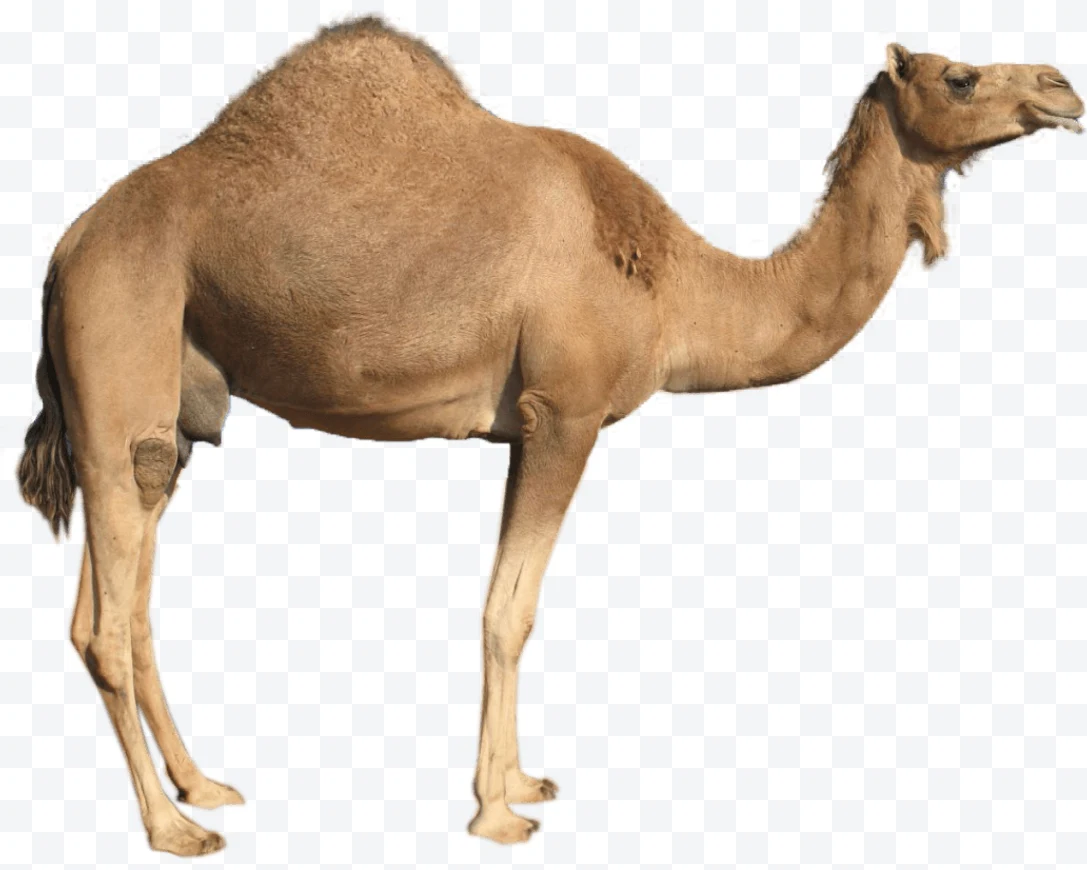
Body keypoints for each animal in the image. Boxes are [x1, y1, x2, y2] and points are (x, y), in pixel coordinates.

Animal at [15, 16, 1084, 856]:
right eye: (958, 75)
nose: (1061, 87)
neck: (679, 284)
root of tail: (64, 251)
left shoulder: (526, 427)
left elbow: (510, 604)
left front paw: (521, 781)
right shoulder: (561, 413)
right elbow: (509, 611)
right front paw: (497, 813)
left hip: (166, 409)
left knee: (118, 596)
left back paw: (204, 785)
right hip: (121, 344)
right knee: (108, 618)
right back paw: (174, 829)